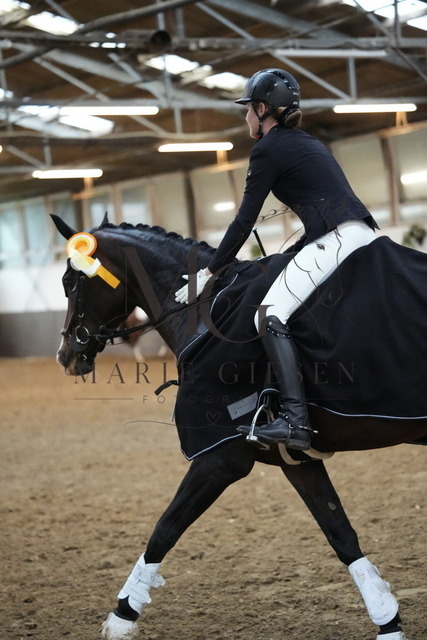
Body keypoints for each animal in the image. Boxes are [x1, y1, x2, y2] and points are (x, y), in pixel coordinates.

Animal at [51, 213, 426, 640]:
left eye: (69, 282)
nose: (66, 355)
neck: (205, 314)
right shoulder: (297, 459)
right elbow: (341, 534)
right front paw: (388, 621)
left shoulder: (220, 457)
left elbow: (166, 527)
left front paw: (122, 615)